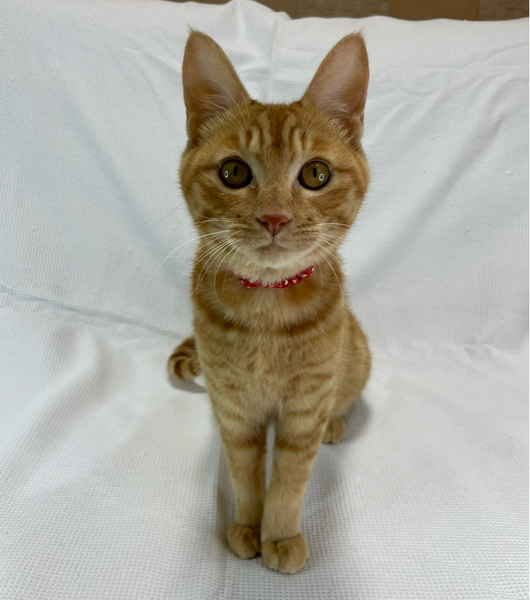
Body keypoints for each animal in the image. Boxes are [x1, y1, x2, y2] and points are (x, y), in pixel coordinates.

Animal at [168, 31, 371, 573]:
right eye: (234, 172)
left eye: (316, 173)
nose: (275, 217)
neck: (266, 311)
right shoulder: (235, 409)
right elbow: (244, 471)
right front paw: (246, 525)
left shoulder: (305, 406)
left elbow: (290, 480)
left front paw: (279, 535)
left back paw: (337, 423)